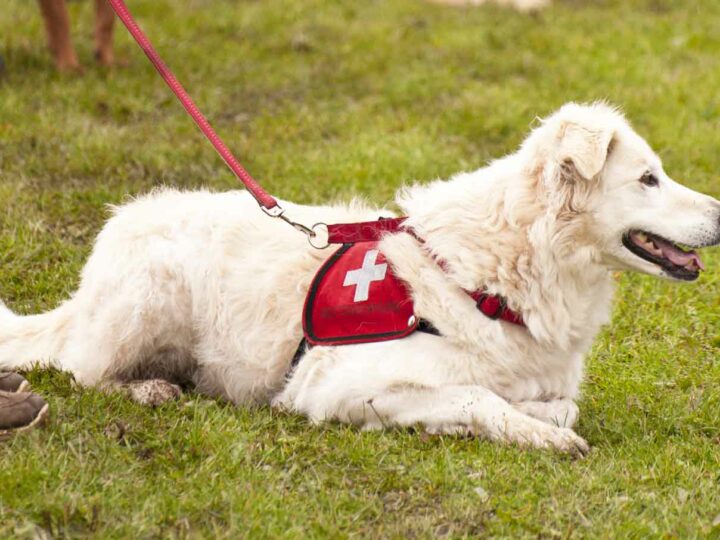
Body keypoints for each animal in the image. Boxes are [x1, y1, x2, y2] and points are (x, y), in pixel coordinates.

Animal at [1, 102, 720, 456]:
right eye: (649, 179)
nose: (719, 211)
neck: (502, 271)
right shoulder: (336, 385)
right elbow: (473, 397)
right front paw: (536, 433)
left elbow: (547, 399)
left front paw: (537, 413)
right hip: (151, 296)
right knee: (82, 369)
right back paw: (150, 388)